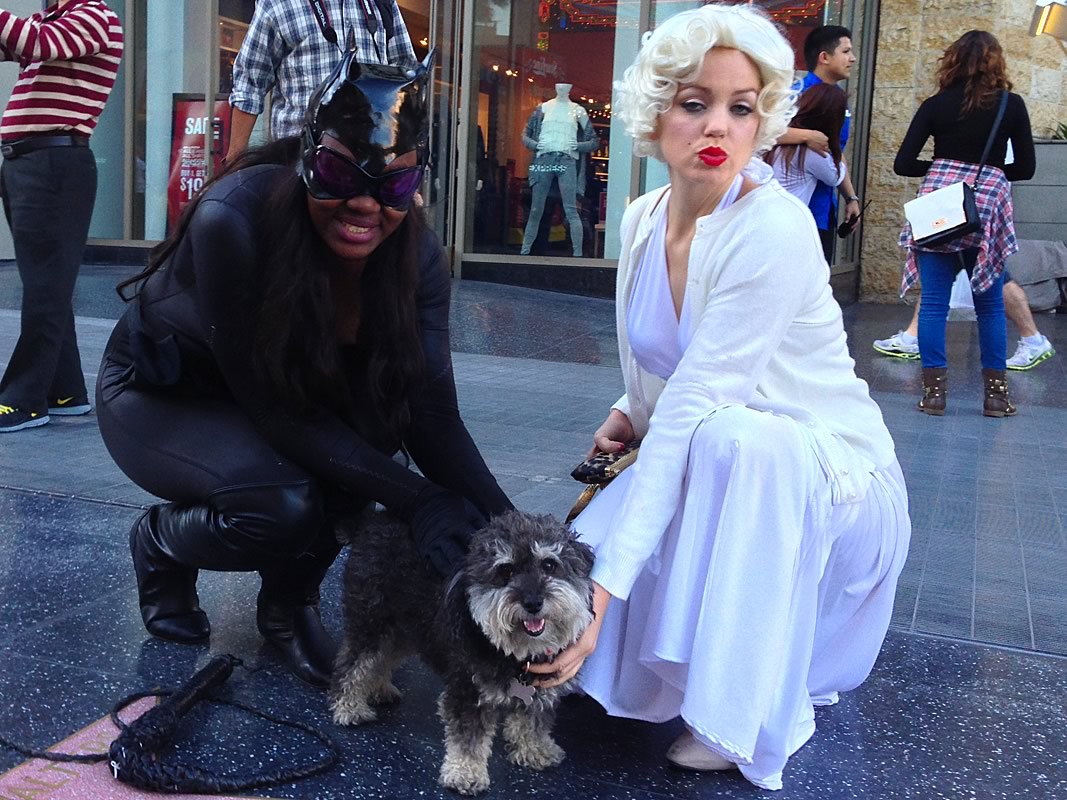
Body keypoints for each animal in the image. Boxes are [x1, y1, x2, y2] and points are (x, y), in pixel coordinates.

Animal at [330, 509, 595, 795]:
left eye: (549, 564)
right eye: (505, 569)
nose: (533, 602)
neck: (514, 653)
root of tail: (370, 521)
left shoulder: (539, 688)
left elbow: (532, 721)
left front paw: (535, 750)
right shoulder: (467, 690)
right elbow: (468, 738)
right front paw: (465, 773)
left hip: (405, 628)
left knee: (383, 657)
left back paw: (379, 688)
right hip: (371, 622)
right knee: (353, 664)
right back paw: (349, 706)